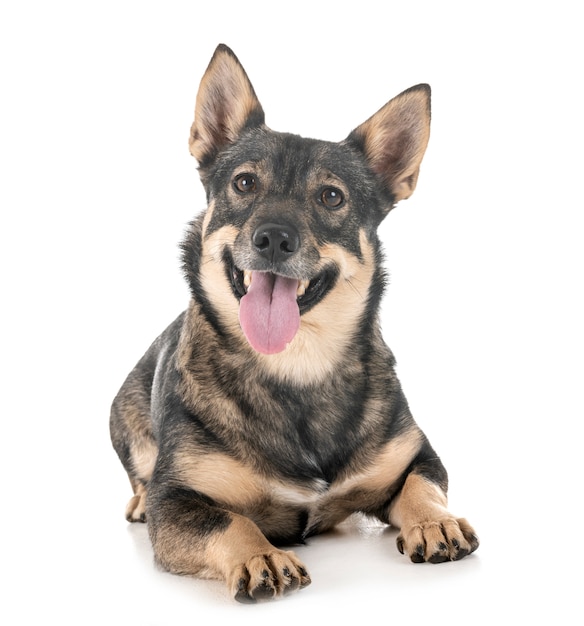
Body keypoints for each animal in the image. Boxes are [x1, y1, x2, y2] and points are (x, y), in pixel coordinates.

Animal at [109, 42, 480, 600]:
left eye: (331, 196)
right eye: (244, 183)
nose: (273, 238)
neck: (295, 364)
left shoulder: (417, 457)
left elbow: (422, 486)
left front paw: (436, 520)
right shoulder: (176, 501)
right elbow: (230, 521)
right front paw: (260, 553)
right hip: (122, 415)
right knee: (140, 472)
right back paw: (137, 497)